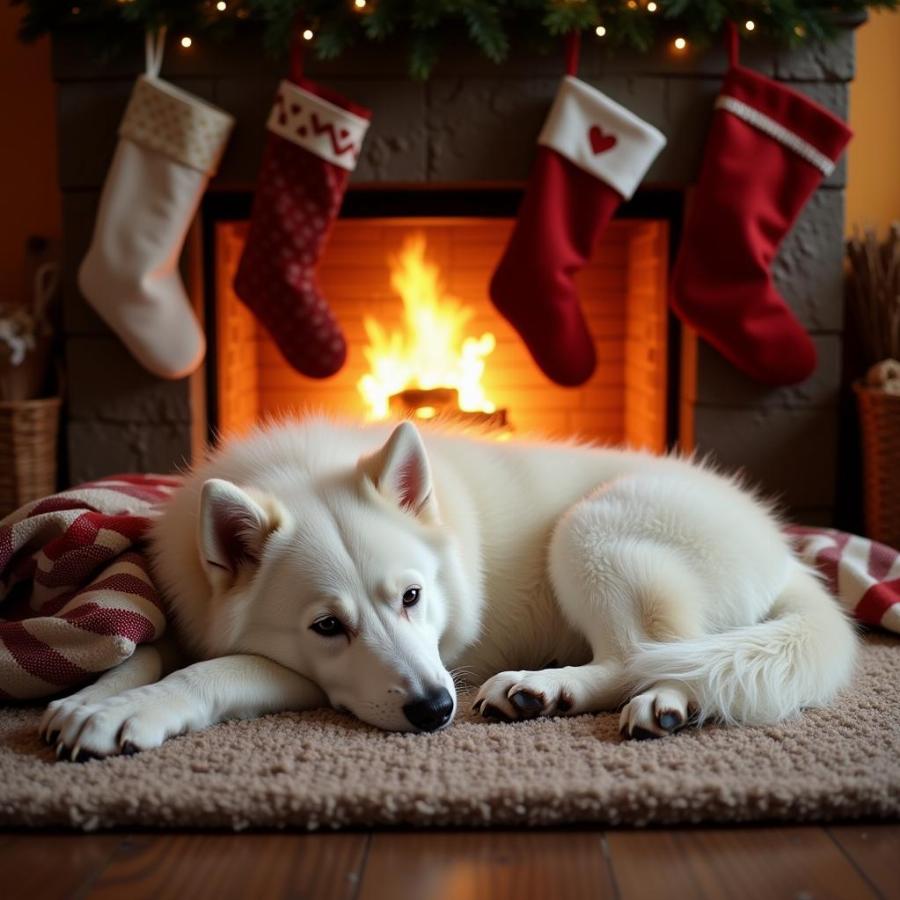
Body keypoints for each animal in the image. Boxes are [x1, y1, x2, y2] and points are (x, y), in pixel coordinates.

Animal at [42, 418, 856, 756]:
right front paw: (89, 698)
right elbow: (147, 650)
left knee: (647, 656)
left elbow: (216, 668)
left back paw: (604, 693)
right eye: (328, 627)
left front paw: (131, 712)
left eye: (411, 598)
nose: (438, 711)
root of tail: (788, 555)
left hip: (592, 530)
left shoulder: (291, 673)